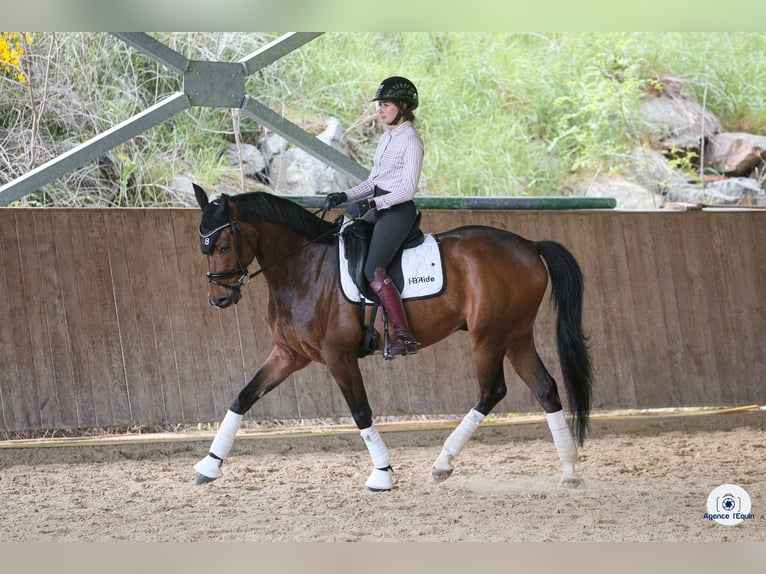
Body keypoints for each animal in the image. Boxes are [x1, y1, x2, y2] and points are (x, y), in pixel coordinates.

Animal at [191, 184, 593, 491]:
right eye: (203, 248)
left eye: (223, 246)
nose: (219, 299)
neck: (305, 269)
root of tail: (528, 244)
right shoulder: (289, 354)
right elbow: (242, 398)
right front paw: (209, 466)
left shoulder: (338, 356)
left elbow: (361, 412)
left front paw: (382, 473)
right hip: (516, 335)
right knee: (545, 388)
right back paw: (570, 471)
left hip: (488, 337)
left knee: (492, 391)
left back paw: (442, 463)